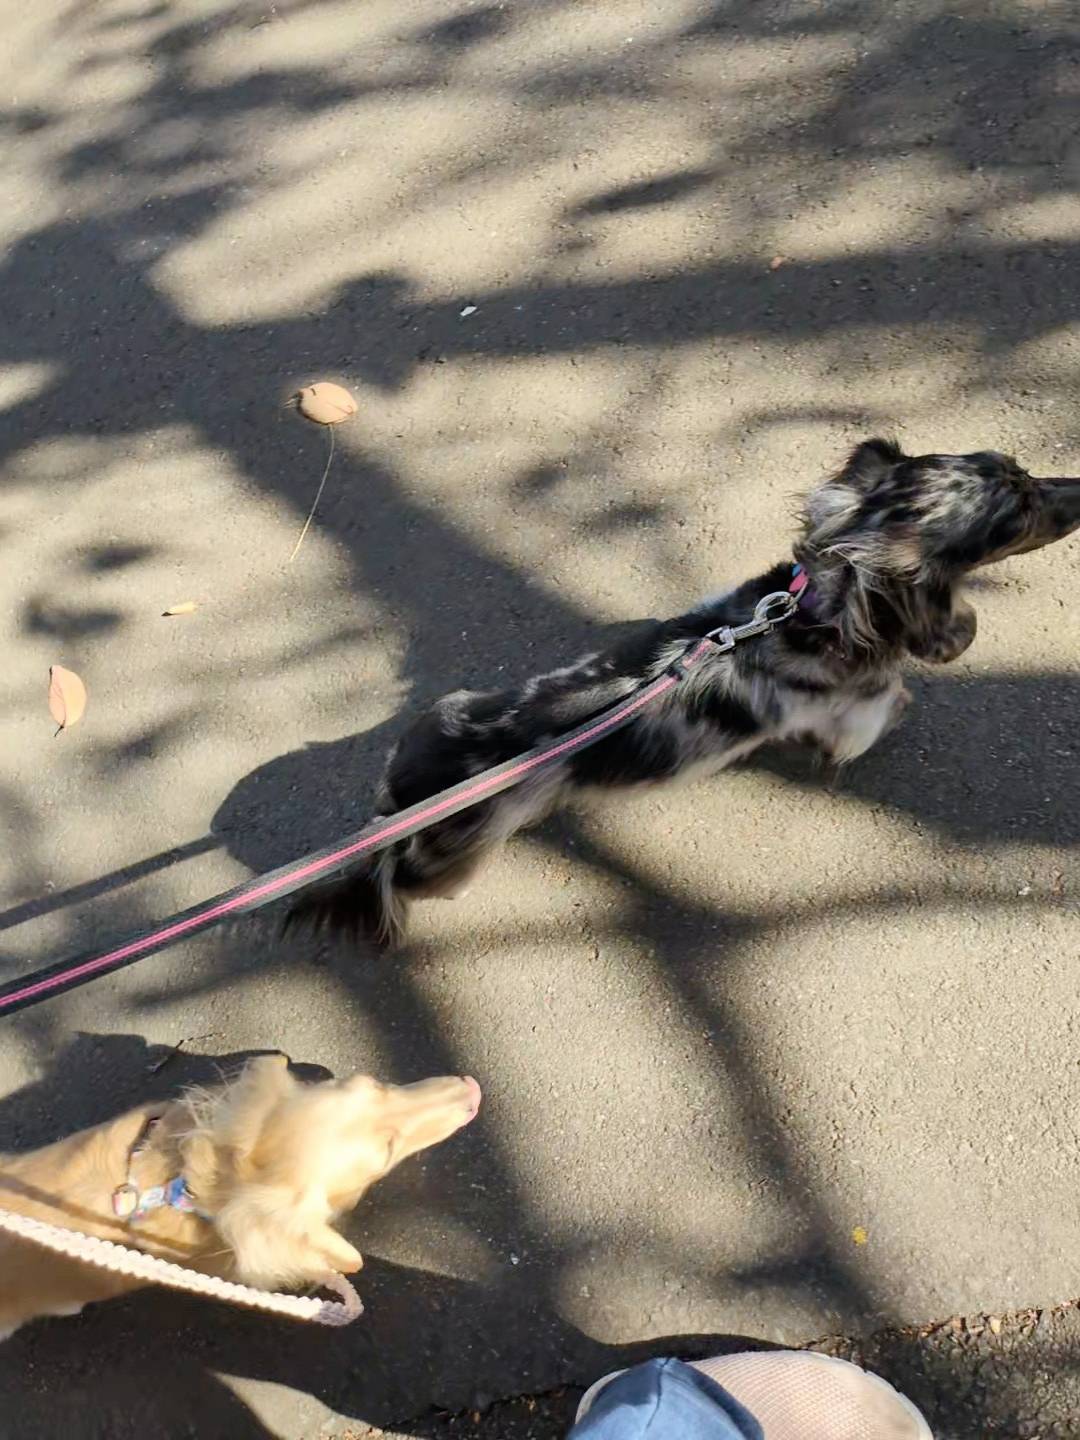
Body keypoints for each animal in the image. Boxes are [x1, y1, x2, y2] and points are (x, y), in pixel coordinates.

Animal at [290, 438, 1080, 946]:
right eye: (1014, 515)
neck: (825, 602)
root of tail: (399, 796)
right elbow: (883, 708)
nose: (1077, 489)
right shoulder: (851, 710)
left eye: (1021, 468)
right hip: (452, 864)